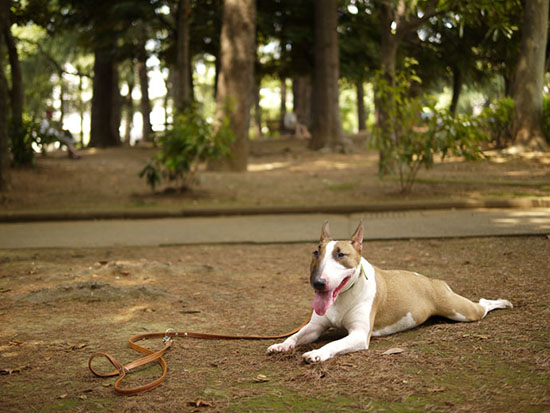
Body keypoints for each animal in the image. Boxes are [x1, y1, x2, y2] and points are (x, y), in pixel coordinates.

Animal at [270, 220, 516, 362]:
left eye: (341, 254)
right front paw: (281, 345)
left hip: (460, 310)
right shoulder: (315, 327)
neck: (343, 296)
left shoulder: (359, 335)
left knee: (482, 305)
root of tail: (432, 280)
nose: (318, 283)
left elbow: (334, 343)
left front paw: (317, 353)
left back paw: (502, 302)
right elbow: (296, 335)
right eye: (315, 252)